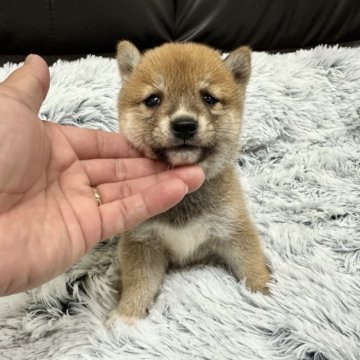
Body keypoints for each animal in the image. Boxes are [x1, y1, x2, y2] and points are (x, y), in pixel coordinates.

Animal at [107, 40, 270, 324]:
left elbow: (251, 264)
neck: (185, 197)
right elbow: (139, 284)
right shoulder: (143, 242)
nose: (184, 125)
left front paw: (266, 296)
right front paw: (127, 315)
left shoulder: (234, 230)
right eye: (153, 99)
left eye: (208, 97)